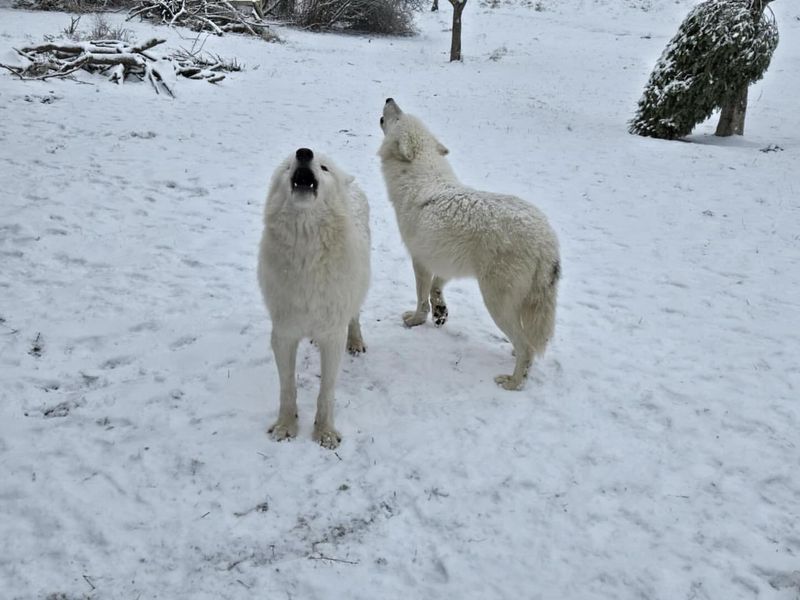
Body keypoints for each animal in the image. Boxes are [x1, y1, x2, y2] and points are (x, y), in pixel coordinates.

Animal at [258, 148, 370, 448]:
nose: (304, 152)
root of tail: (350, 181)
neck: (306, 253)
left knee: (355, 316)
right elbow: (287, 387)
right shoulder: (283, 333)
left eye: (324, 168)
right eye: (288, 166)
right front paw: (285, 426)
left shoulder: (333, 335)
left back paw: (356, 342)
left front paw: (325, 433)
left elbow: (326, 391)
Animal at [380, 99, 556, 390]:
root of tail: (546, 238)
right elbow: (436, 290)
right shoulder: (444, 263)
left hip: (496, 302)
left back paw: (513, 382)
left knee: (527, 347)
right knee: (527, 340)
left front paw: (416, 321)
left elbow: (421, 298)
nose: (389, 99)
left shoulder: (420, 260)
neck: (419, 178)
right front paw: (440, 313)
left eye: (398, 117)